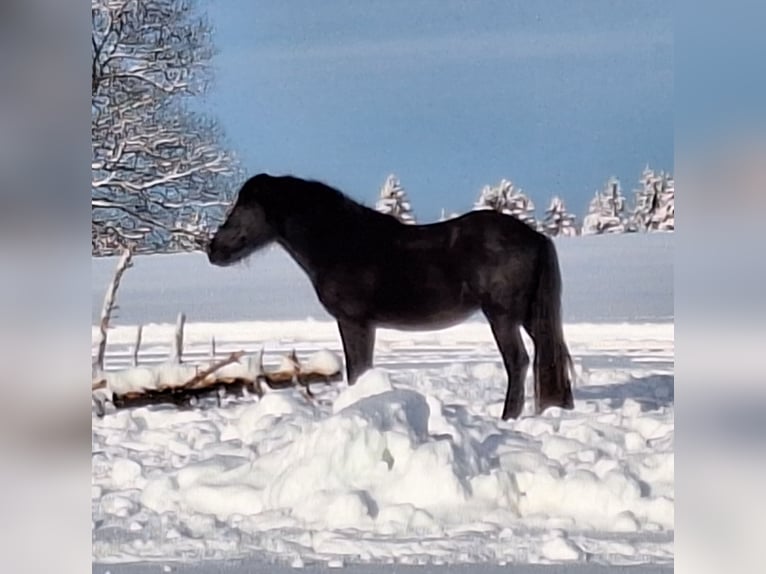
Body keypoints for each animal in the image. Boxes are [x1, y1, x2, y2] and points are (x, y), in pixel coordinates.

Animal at [207, 173, 572, 420]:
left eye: (244, 207)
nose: (213, 249)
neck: (341, 242)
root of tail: (534, 236)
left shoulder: (354, 322)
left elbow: (357, 370)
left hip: (502, 316)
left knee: (518, 361)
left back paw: (508, 417)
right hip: (528, 315)